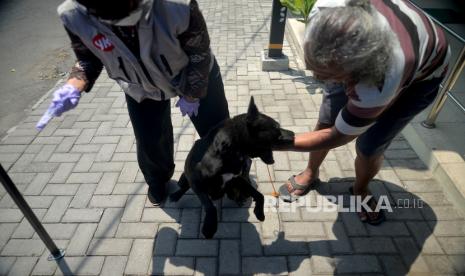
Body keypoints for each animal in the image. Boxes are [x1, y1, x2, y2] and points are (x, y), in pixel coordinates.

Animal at [170, 97, 294, 239]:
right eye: (277, 130)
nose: (294, 134)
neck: (232, 150)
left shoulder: (237, 178)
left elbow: (259, 195)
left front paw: (259, 212)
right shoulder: (197, 182)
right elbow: (210, 206)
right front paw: (209, 227)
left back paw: (239, 198)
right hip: (185, 177)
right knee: (184, 186)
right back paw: (175, 195)